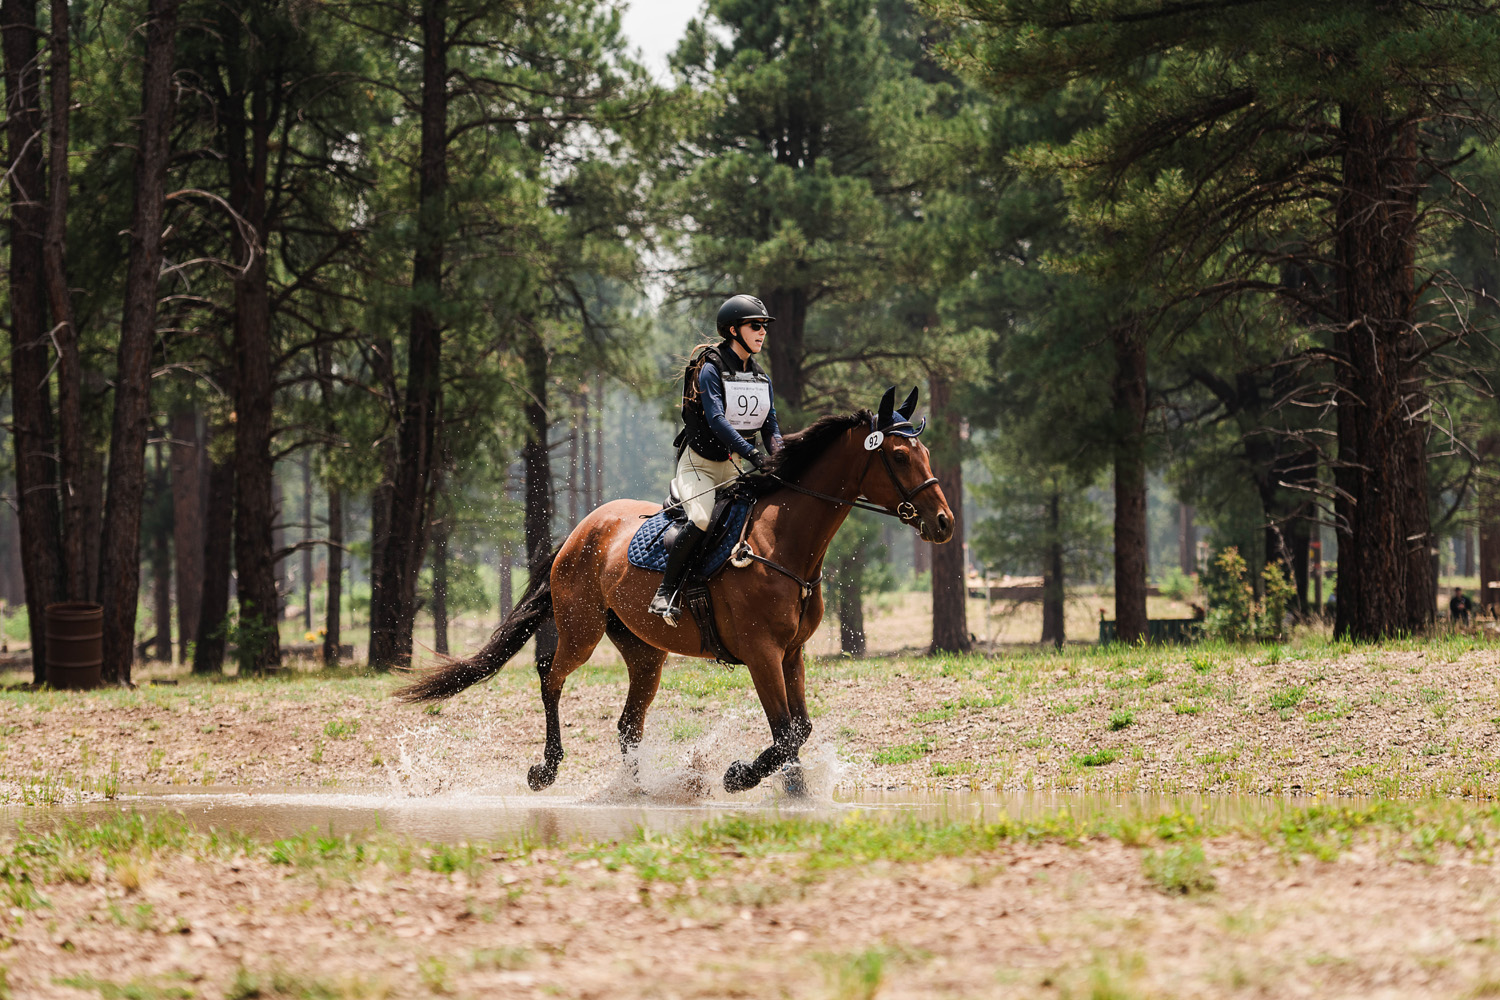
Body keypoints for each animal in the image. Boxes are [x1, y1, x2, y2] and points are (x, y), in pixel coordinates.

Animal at [393, 387, 956, 794]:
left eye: (925, 451)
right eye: (900, 456)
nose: (944, 523)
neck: (783, 541)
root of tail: (579, 531)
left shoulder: (791, 654)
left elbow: (798, 730)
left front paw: (787, 789)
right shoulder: (762, 654)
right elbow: (783, 731)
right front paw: (739, 776)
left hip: (645, 652)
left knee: (627, 723)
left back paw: (636, 792)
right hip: (582, 630)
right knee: (550, 677)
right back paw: (546, 769)